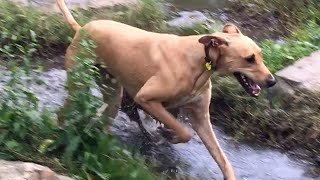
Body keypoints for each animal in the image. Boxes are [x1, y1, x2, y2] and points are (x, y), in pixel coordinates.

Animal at [58, 0, 278, 179]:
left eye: (260, 55)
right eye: (249, 59)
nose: (272, 81)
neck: (199, 61)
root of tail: (81, 28)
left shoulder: (201, 118)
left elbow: (223, 160)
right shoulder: (146, 99)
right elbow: (183, 131)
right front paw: (168, 135)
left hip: (113, 94)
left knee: (106, 120)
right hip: (78, 85)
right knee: (64, 111)